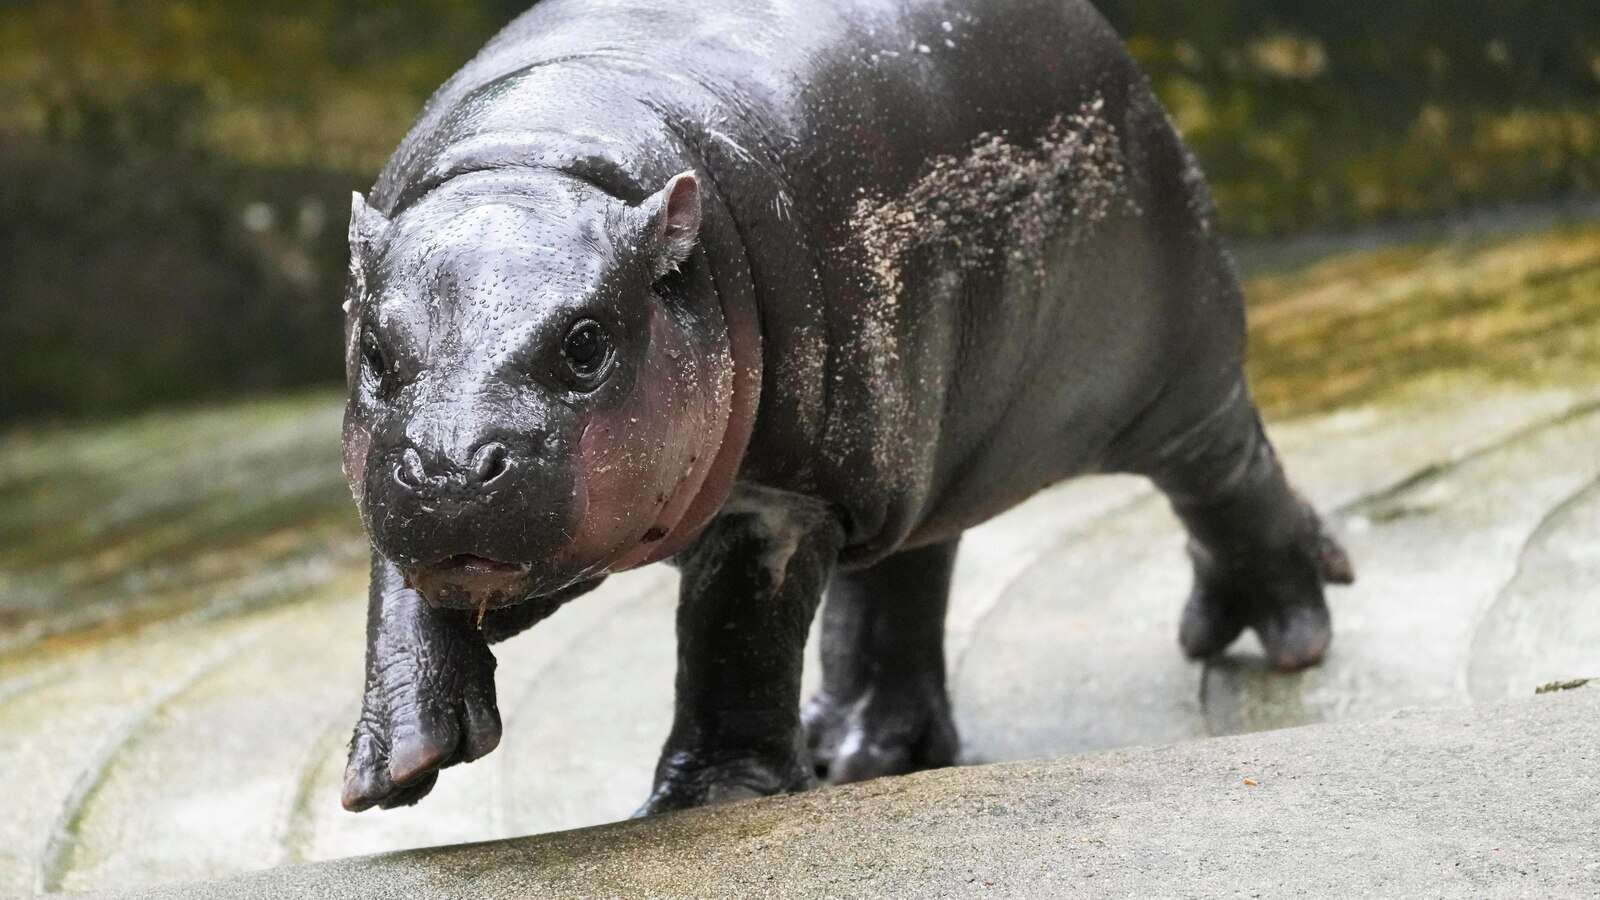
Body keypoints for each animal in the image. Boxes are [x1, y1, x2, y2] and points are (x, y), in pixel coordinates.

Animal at [337, 0, 1350, 813]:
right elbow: (402, 590)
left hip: (1170, 370)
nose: (451, 467)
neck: (541, 162)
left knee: (1227, 471)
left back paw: (1285, 632)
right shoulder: (405, 488)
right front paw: (399, 764)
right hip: (921, 439)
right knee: (903, 575)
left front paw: (710, 802)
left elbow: (737, 634)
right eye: (375, 351)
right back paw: (861, 750)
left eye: (586, 343)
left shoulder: (790, 494)